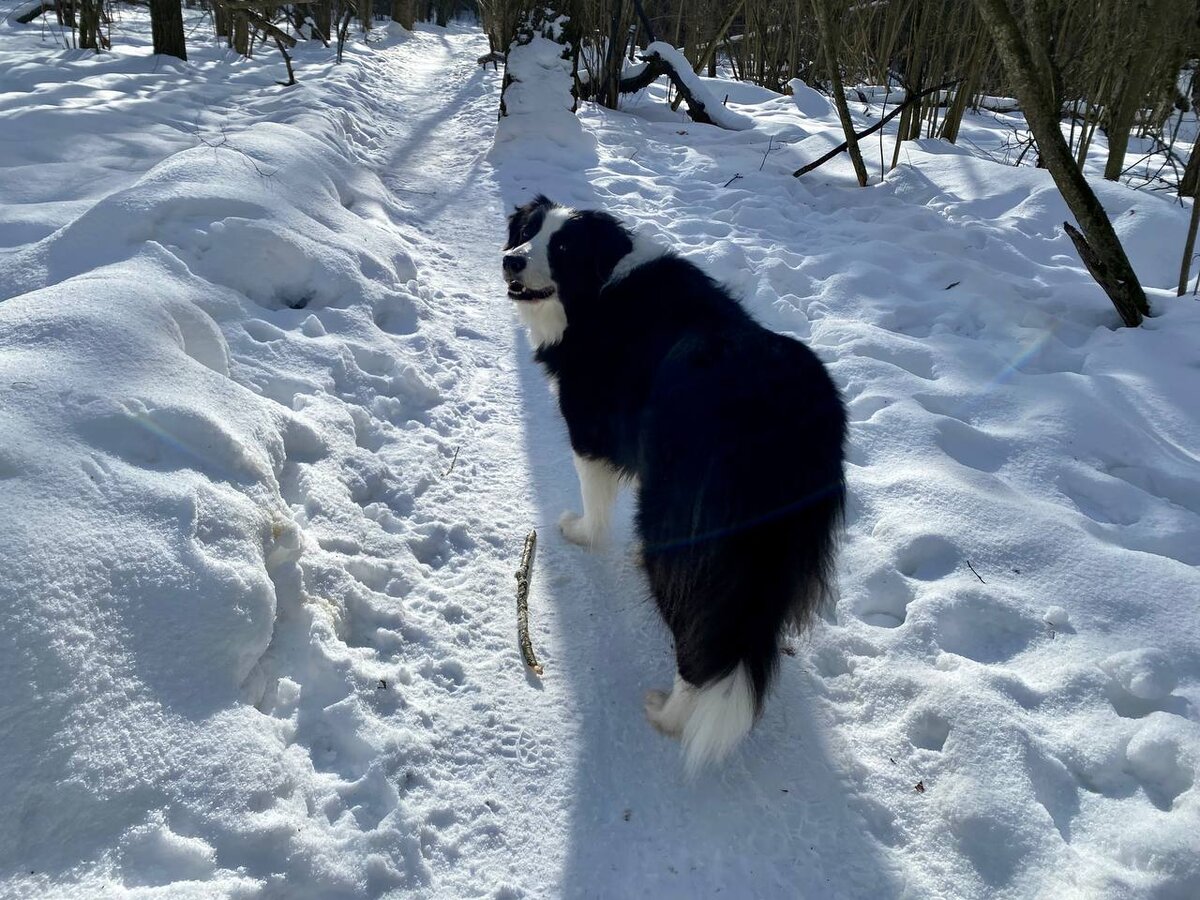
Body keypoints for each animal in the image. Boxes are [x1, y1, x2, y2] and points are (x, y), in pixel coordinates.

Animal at [501, 196, 849, 777]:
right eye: (527, 231)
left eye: (562, 246)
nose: (511, 260)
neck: (600, 289)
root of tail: (782, 424)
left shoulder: (590, 432)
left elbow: (594, 498)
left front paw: (579, 532)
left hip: (682, 526)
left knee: (701, 644)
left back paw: (667, 715)